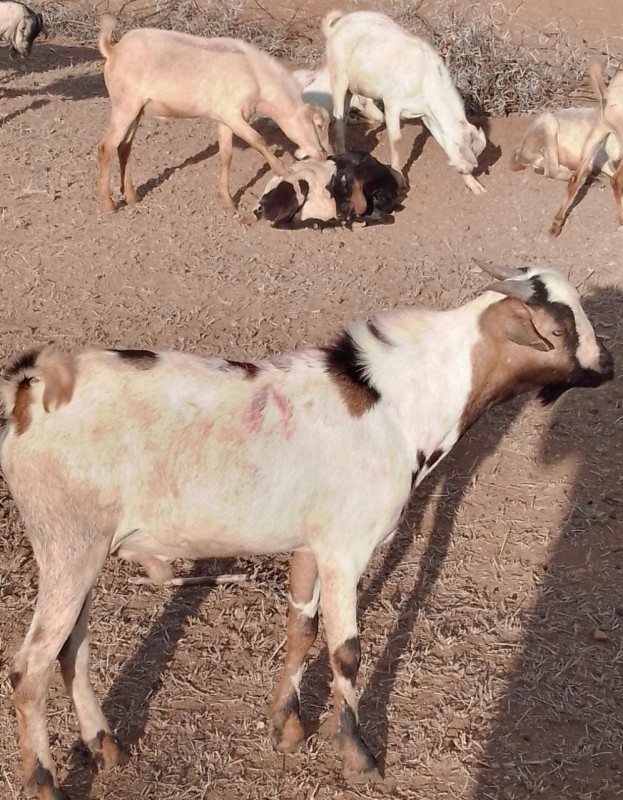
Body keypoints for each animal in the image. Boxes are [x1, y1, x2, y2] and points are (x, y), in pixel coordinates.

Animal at [1, 265, 613, 797]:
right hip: (68, 544)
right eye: (558, 328)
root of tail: (31, 391)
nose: (606, 365)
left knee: (69, 650)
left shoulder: (309, 546)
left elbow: (302, 628)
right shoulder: (346, 548)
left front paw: (287, 727)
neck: (398, 402)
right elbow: (346, 650)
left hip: (81, 549)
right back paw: (45, 782)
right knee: (29, 668)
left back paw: (106, 747)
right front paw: (359, 757)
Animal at [96, 15, 331, 213]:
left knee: (124, 148)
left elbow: (226, 156)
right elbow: (258, 140)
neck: (255, 76)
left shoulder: (225, 119)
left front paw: (227, 200)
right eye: (319, 125)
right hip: (125, 106)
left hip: (135, 111)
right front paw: (285, 172)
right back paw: (108, 204)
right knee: (106, 148)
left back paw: (132, 197)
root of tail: (114, 51)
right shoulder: (233, 115)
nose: (325, 155)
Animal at [254, 150, 400, 228]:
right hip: (300, 184)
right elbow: (388, 218)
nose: (340, 215)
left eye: (346, 188)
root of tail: (263, 201)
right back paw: (317, 223)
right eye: (337, 190)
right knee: (279, 223)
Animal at [322, 10, 487, 194]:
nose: (466, 170)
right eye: (463, 149)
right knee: (338, 123)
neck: (425, 78)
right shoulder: (392, 104)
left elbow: (440, 138)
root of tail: (335, 26)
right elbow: (396, 139)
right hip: (339, 79)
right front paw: (398, 177)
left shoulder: (429, 115)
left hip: (352, 88)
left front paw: (474, 184)